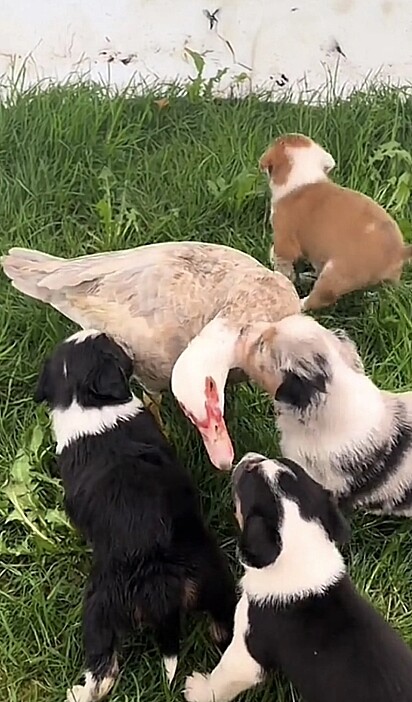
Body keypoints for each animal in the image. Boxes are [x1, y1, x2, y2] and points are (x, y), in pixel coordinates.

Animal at [34, 330, 238, 702]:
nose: (115, 338)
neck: (85, 401)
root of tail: (159, 582)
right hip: (212, 576)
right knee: (222, 626)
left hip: (99, 607)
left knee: (103, 670)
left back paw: (79, 692)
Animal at [185, 454, 412, 702]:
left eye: (249, 471)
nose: (250, 456)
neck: (302, 544)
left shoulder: (247, 653)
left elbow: (223, 677)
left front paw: (197, 689)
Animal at [260, 135, 412, 310]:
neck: (305, 176)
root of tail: (399, 251)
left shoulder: (284, 239)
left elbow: (281, 261)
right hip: (388, 282)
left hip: (334, 274)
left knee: (321, 297)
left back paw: (301, 303)